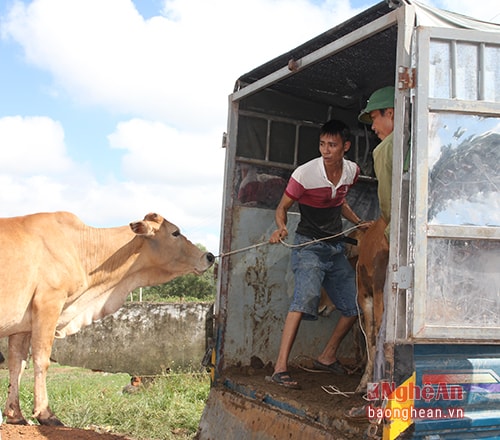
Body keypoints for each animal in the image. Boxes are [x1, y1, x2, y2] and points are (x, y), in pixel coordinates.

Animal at [0, 211, 213, 424]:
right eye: (175, 232)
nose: (209, 256)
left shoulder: (22, 325)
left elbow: (17, 364)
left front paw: (15, 415)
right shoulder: (48, 304)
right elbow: (41, 360)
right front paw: (45, 414)